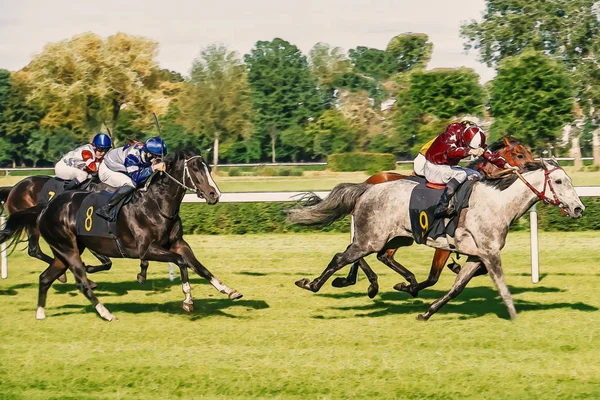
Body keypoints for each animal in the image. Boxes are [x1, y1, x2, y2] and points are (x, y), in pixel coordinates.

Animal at [2, 148, 241, 320]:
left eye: (207, 167)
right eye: (194, 168)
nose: (214, 194)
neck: (156, 205)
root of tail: (45, 207)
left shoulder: (178, 243)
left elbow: (199, 267)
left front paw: (228, 290)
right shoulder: (147, 249)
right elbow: (182, 262)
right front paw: (188, 301)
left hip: (64, 251)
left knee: (44, 277)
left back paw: (41, 312)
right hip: (68, 250)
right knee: (78, 280)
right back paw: (105, 312)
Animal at [288, 161, 584, 320]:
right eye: (559, 181)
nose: (579, 208)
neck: (497, 203)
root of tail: (367, 188)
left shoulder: (476, 256)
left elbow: (456, 288)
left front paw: (427, 312)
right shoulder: (488, 254)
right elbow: (501, 286)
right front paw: (514, 316)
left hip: (392, 237)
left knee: (375, 257)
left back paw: (392, 283)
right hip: (369, 238)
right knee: (342, 257)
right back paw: (313, 284)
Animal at [332, 137, 536, 296]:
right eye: (519, 154)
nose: (536, 166)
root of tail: (367, 183)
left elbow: (481, 267)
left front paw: (456, 268)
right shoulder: (444, 241)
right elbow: (433, 277)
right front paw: (409, 287)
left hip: (395, 234)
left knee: (375, 254)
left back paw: (355, 281)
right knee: (370, 253)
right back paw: (370, 283)